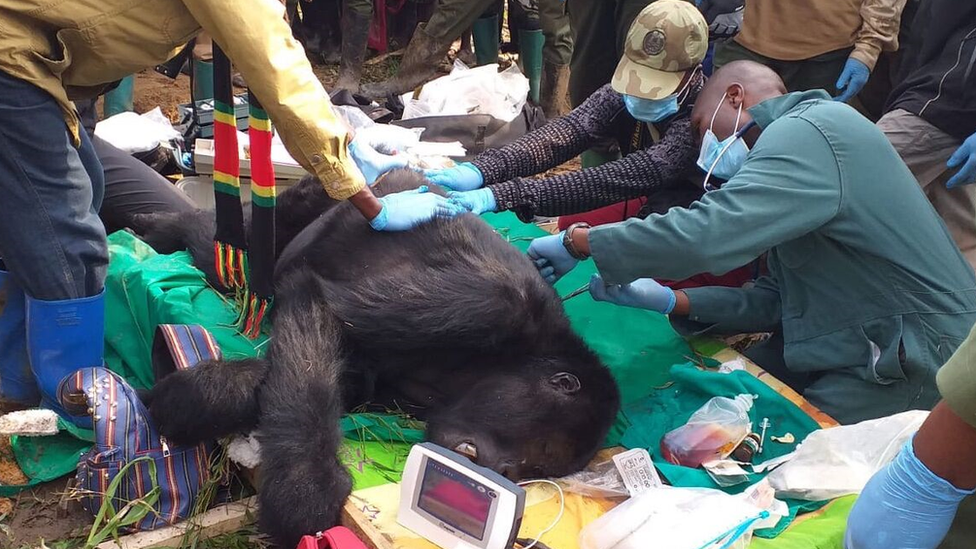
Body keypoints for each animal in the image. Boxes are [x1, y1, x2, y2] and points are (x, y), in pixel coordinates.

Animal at [134, 169, 620, 544]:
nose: (497, 469)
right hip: (320, 193)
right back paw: (175, 226)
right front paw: (305, 487)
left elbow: (341, 378)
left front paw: (203, 394)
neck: (512, 360)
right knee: (235, 256)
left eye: (534, 468)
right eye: (537, 450)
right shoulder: (492, 304)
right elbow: (317, 310)